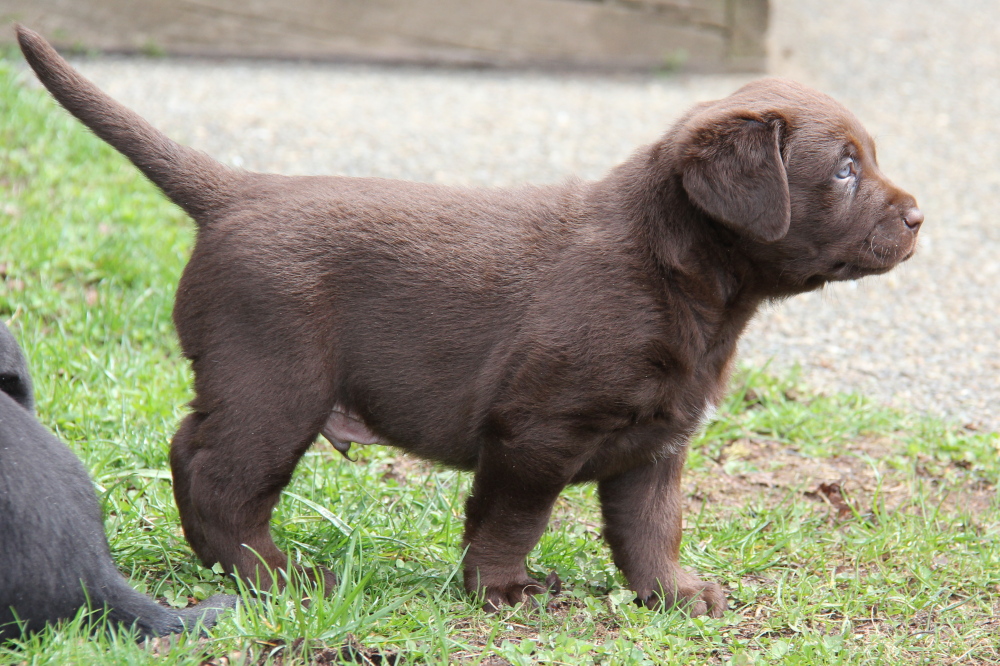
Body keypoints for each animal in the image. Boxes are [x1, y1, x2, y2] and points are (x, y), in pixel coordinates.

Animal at [17, 26, 920, 616]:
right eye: (845, 169)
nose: (918, 216)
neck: (681, 276)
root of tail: (237, 191)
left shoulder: (656, 444)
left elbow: (650, 527)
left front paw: (673, 593)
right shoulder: (535, 429)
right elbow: (514, 519)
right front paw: (504, 590)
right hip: (275, 379)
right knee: (215, 471)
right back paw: (273, 578)